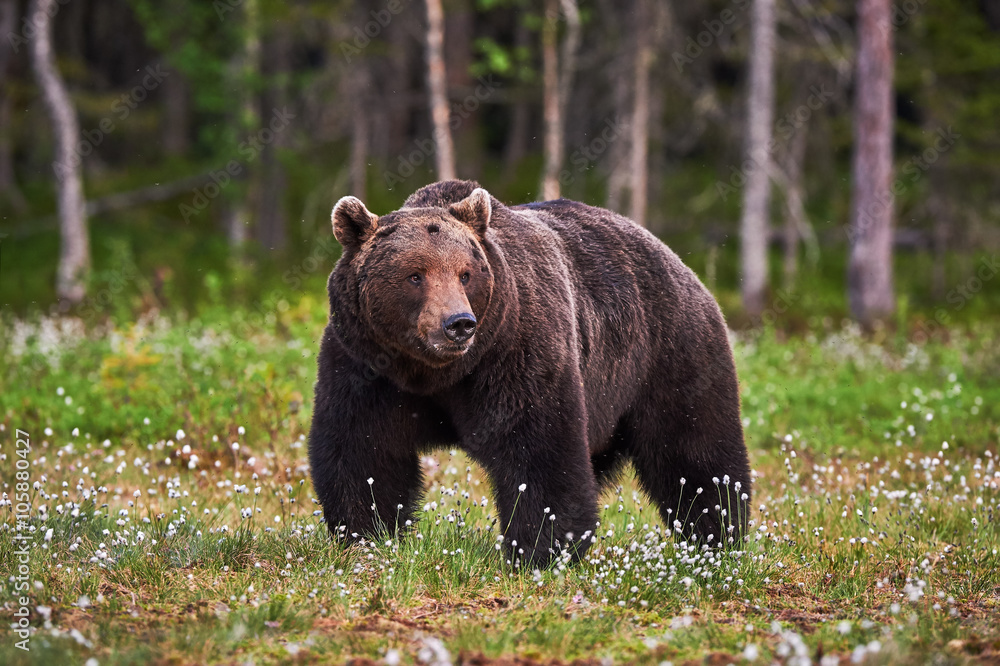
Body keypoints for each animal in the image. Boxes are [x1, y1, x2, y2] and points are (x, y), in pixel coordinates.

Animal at [309, 179, 751, 566]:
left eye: (465, 273)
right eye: (415, 274)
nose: (459, 324)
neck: (435, 372)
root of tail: (679, 262)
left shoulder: (515, 352)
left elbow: (537, 449)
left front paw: (538, 549)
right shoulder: (366, 365)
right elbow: (364, 448)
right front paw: (367, 533)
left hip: (669, 354)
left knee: (695, 451)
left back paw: (718, 537)